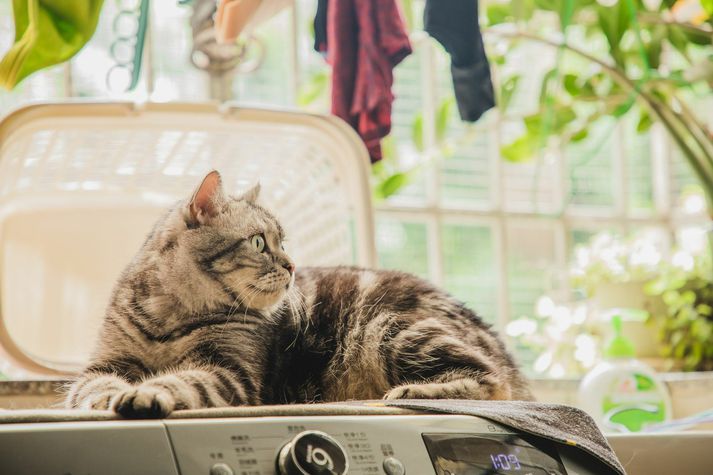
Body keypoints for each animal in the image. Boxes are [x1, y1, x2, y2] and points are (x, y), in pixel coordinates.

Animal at [67, 173, 532, 418]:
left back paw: (413, 392)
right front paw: (107, 398)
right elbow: (92, 387)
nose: (291, 265)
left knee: (490, 380)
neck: (171, 316)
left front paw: (146, 394)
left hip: (388, 328)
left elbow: (182, 380)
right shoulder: (104, 363)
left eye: (283, 242)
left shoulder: (229, 371)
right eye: (259, 243)